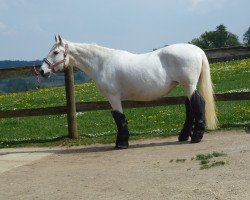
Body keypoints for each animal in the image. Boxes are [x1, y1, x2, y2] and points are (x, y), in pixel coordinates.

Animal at [40, 35, 217, 148]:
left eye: (55, 52)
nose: (42, 71)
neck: (102, 63)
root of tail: (197, 50)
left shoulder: (113, 97)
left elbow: (119, 118)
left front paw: (121, 143)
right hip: (187, 86)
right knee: (190, 107)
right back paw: (183, 136)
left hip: (189, 85)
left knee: (199, 104)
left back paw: (196, 137)